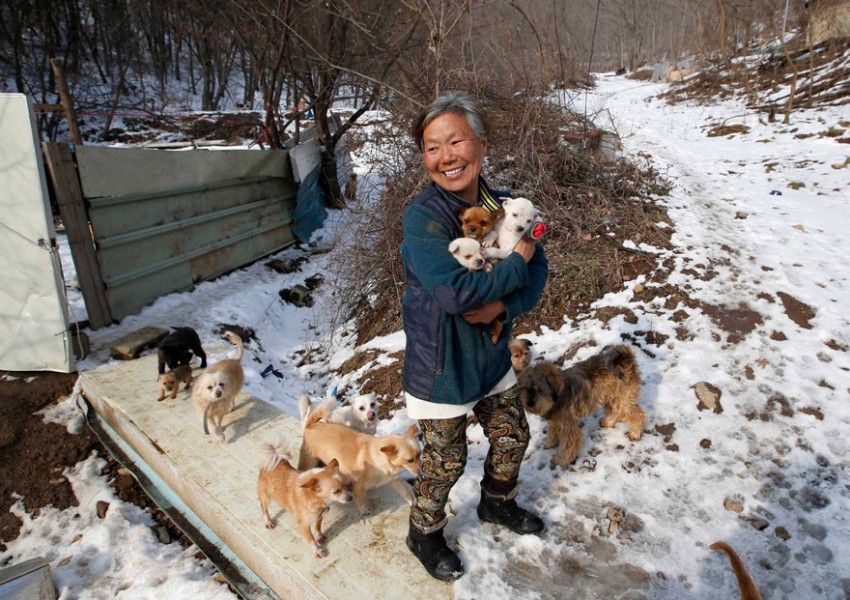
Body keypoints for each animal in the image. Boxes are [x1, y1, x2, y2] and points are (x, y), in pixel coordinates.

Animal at [516, 342, 644, 468]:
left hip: (624, 398)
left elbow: (569, 445)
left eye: (540, 389)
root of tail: (625, 358)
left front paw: (561, 460)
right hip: (612, 397)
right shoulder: (556, 420)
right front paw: (550, 443)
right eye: (526, 388)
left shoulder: (568, 426)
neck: (558, 396)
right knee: (615, 411)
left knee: (638, 414)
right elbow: (552, 431)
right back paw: (608, 422)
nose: (529, 403)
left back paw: (635, 433)